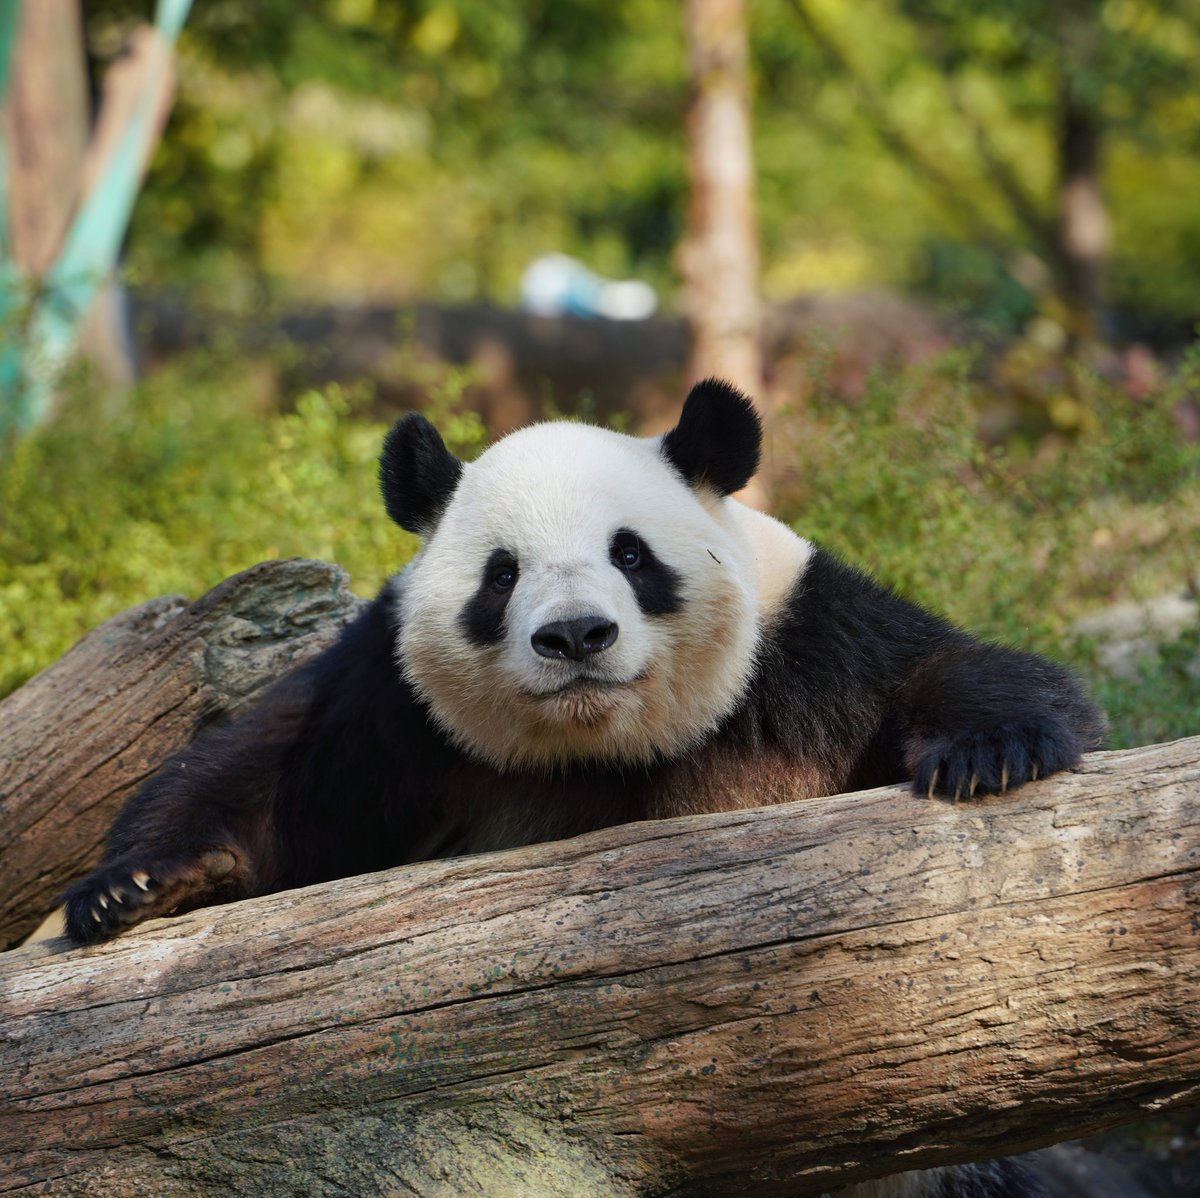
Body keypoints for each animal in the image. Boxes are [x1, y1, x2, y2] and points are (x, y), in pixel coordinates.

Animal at [63, 379, 1101, 1196]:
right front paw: (131, 886)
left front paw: (989, 753)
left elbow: (951, 669)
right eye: (501, 574)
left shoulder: (808, 652)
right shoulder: (389, 708)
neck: (601, 750)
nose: (574, 637)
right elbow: (259, 778)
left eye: (630, 555)